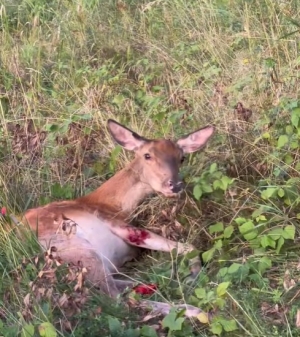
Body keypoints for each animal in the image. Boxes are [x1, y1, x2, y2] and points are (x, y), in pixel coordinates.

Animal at [23, 119, 216, 316]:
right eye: (147, 155)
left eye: (181, 157)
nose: (175, 185)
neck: (115, 205)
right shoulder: (118, 224)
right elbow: (188, 246)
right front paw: (195, 276)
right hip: (77, 250)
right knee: (116, 299)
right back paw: (195, 310)